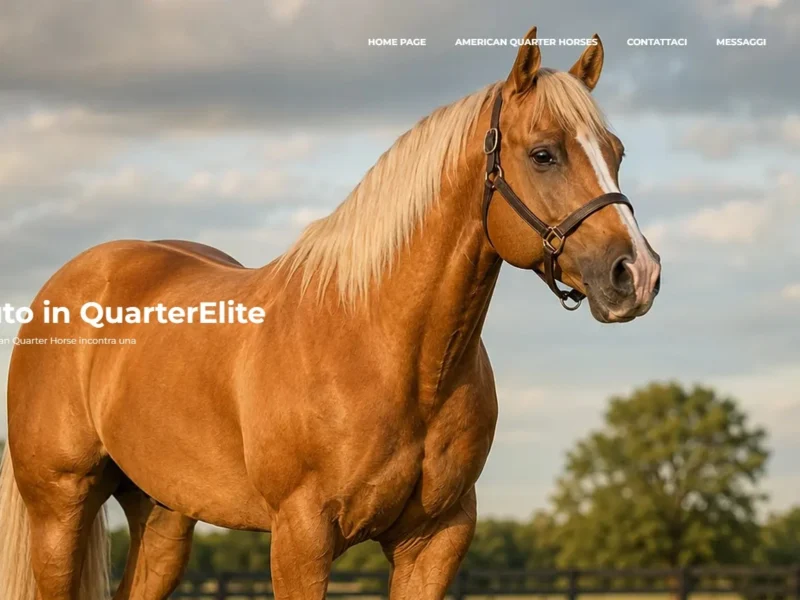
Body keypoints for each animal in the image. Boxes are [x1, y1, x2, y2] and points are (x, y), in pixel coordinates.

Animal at [0, 27, 660, 600]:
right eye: (544, 154)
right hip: (60, 508)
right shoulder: (301, 537)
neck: (380, 345)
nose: (637, 274)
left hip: (163, 515)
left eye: (617, 152)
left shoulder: (436, 540)